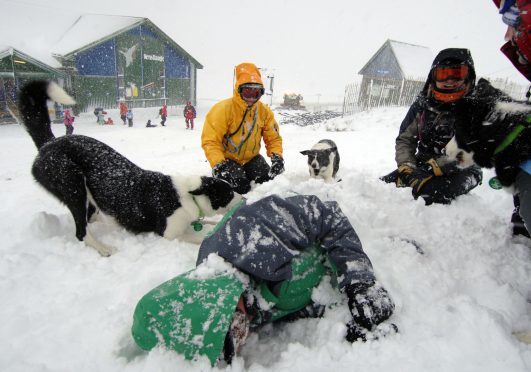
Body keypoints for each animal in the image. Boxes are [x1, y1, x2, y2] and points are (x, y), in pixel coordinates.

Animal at [17, 80, 241, 256]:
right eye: (229, 193)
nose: (244, 198)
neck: (186, 195)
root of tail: (49, 144)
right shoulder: (169, 233)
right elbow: (202, 236)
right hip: (73, 185)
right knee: (81, 232)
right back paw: (103, 248)